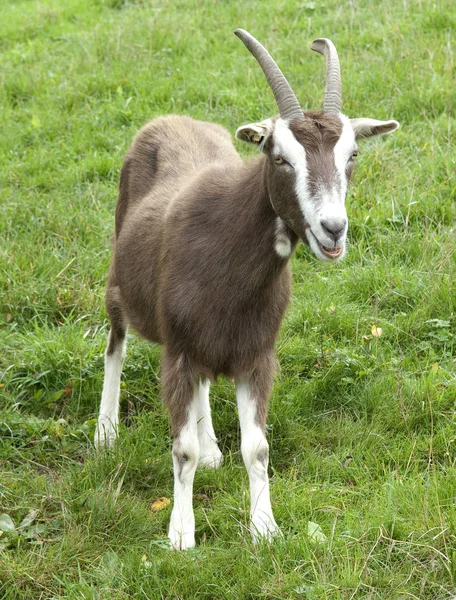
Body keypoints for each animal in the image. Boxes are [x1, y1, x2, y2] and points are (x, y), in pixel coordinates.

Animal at [96, 31, 400, 548]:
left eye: (353, 155)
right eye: (280, 158)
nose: (333, 229)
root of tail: (168, 120)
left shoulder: (257, 354)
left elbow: (257, 447)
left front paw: (265, 529)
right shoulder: (177, 352)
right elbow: (181, 451)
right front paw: (181, 536)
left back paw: (213, 448)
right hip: (120, 283)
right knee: (115, 345)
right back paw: (106, 432)